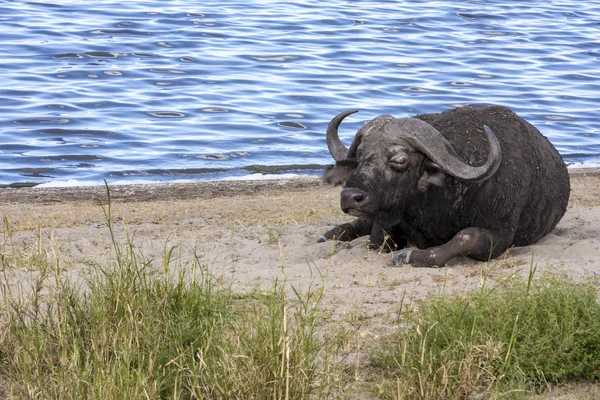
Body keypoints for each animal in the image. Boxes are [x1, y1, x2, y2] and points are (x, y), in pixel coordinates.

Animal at [316, 106, 568, 268]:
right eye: (359, 156)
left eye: (398, 160)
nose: (349, 196)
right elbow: (377, 239)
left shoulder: (501, 235)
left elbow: (465, 237)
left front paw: (409, 257)